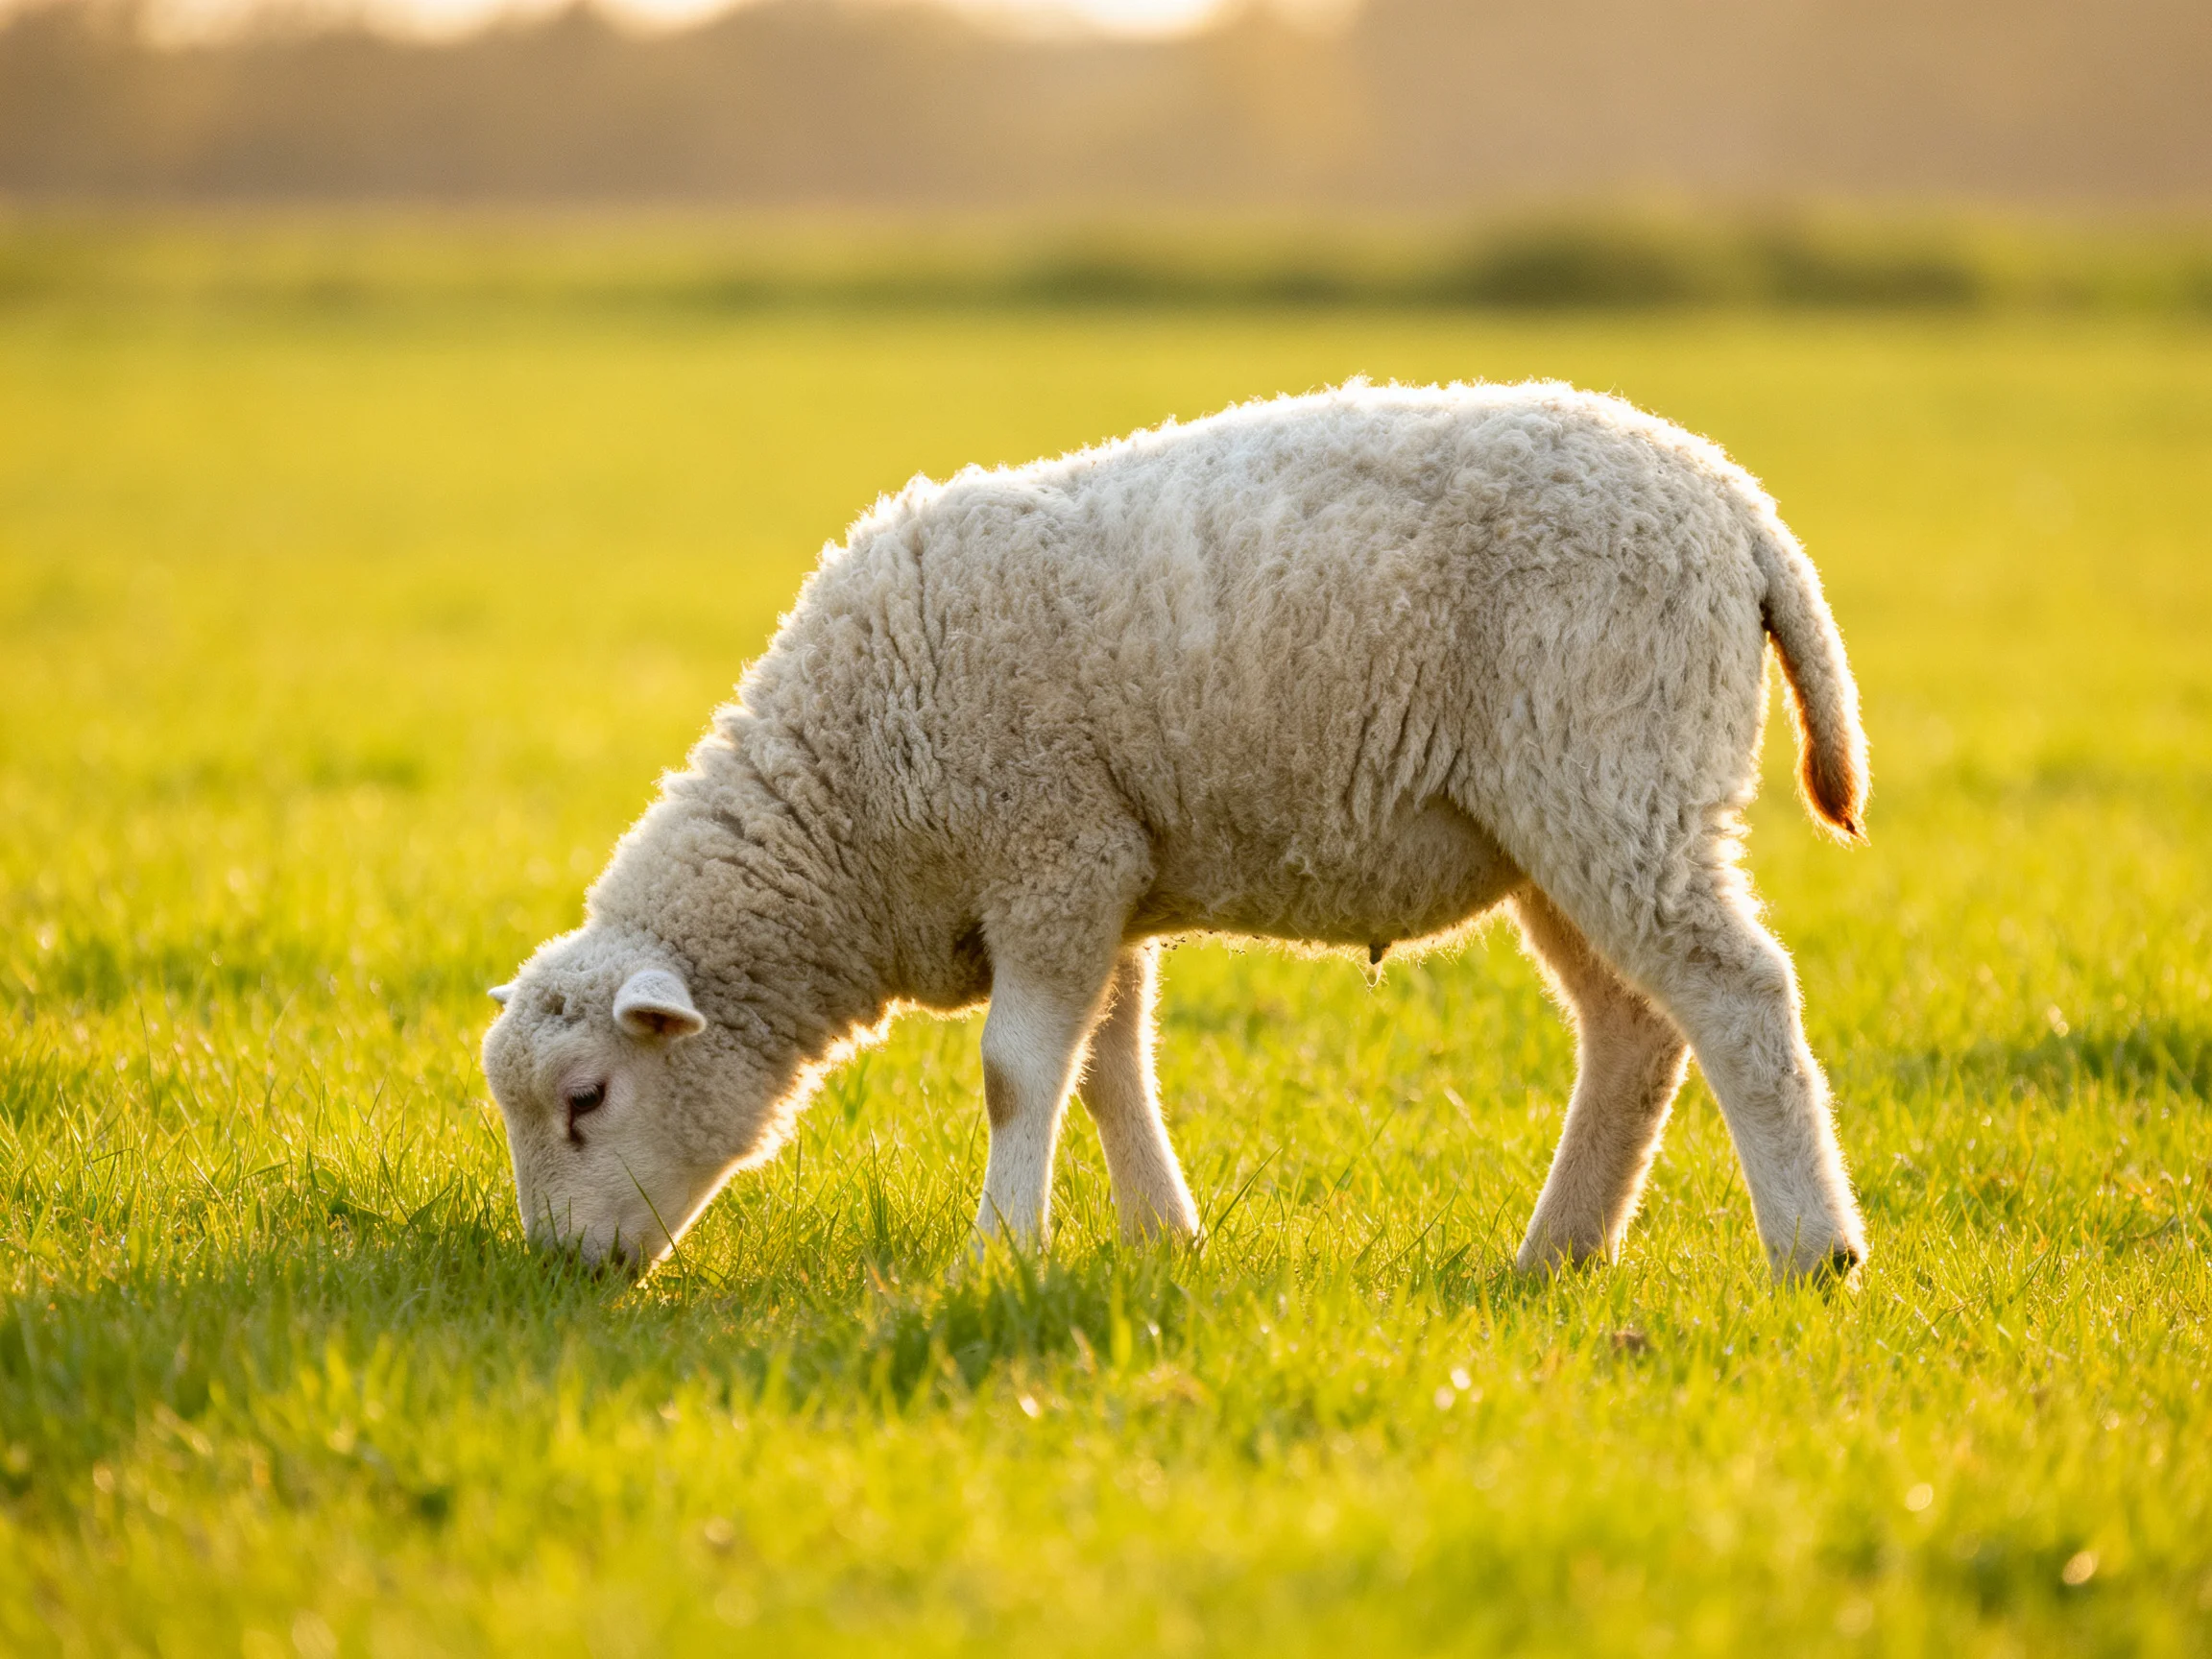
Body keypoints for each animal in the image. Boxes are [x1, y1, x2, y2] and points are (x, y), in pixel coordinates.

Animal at [481, 378, 1871, 1283]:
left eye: (586, 1099)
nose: (563, 1275)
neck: (849, 807)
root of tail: (1740, 511)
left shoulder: (1050, 848)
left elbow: (1016, 1073)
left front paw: (1000, 1254)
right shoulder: (1103, 874)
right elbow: (1107, 1067)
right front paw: (1162, 1236)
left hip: (1615, 771)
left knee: (1740, 997)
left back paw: (1813, 1251)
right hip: (1559, 823)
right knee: (1635, 1028)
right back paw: (1558, 1256)